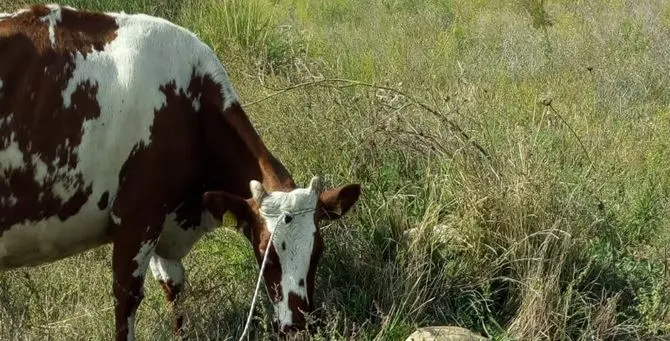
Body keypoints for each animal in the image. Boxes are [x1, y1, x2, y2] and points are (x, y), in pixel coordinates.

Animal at [0, 3, 362, 338]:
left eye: (318, 252)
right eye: (265, 255)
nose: (298, 326)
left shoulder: (163, 220)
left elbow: (173, 287)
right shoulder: (138, 217)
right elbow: (126, 300)